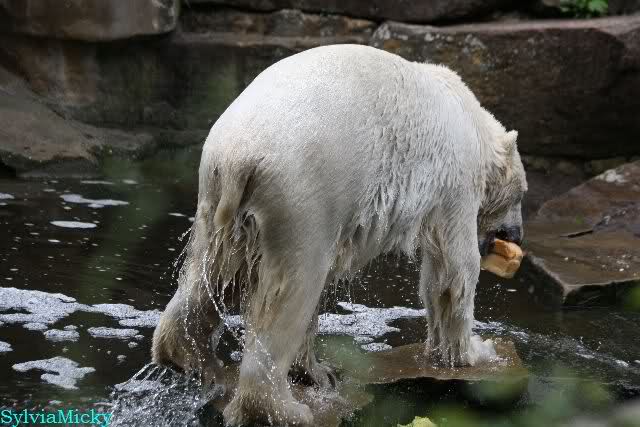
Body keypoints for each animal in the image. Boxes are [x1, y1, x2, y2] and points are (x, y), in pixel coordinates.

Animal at [152, 44, 527, 426]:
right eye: (521, 195)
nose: (517, 235)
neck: (470, 119)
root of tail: (238, 159)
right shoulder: (455, 180)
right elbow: (453, 269)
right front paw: (476, 352)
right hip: (301, 196)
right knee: (294, 288)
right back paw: (287, 409)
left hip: (214, 195)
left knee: (212, 271)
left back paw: (193, 356)